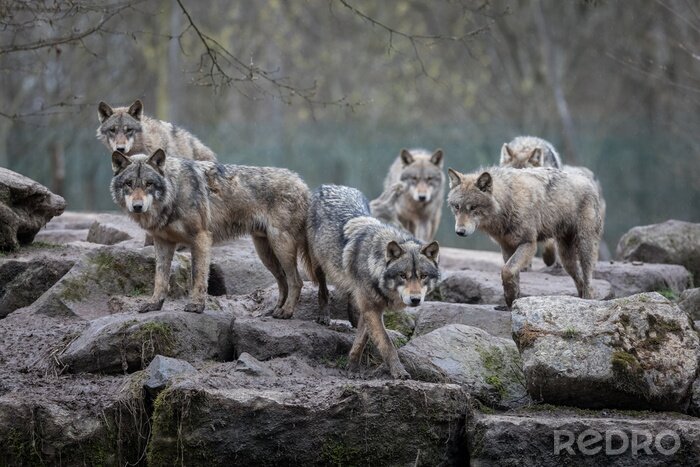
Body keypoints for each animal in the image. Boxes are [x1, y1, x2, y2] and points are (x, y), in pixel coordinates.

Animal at [110, 149, 310, 316]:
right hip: (265, 253)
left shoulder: (201, 238)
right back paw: (275, 310)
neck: (174, 192)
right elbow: (160, 278)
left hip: (280, 246)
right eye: (129, 184)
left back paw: (286, 312)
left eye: (149, 184)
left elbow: (198, 276)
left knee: (296, 281)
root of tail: (302, 183)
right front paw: (154, 304)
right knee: (283, 281)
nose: (137, 206)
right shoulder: (162, 242)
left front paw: (196, 306)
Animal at [307, 184, 440, 379]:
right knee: (323, 289)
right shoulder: (371, 309)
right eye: (403, 275)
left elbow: (361, 340)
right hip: (318, 264)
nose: (415, 299)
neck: (374, 264)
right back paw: (324, 315)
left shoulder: (370, 309)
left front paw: (352, 367)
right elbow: (386, 343)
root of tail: (329, 186)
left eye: (423, 276)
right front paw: (399, 372)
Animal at [447, 166, 602, 308]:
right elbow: (512, 274)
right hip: (566, 259)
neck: (508, 201)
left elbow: (507, 270)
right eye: (457, 207)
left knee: (588, 279)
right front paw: (512, 301)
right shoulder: (507, 247)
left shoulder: (528, 243)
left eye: (473, 207)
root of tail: (588, 180)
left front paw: (511, 299)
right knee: (580, 280)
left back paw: (587, 301)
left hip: (584, 247)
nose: (459, 231)